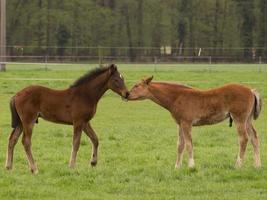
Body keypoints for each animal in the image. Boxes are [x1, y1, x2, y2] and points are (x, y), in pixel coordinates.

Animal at [127, 76, 262, 169]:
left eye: (137, 85)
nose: (126, 94)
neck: (177, 97)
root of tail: (251, 90)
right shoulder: (180, 124)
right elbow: (180, 145)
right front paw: (177, 167)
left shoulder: (187, 123)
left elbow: (188, 144)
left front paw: (191, 165)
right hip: (247, 120)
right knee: (254, 137)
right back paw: (257, 165)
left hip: (239, 119)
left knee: (243, 138)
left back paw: (238, 165)